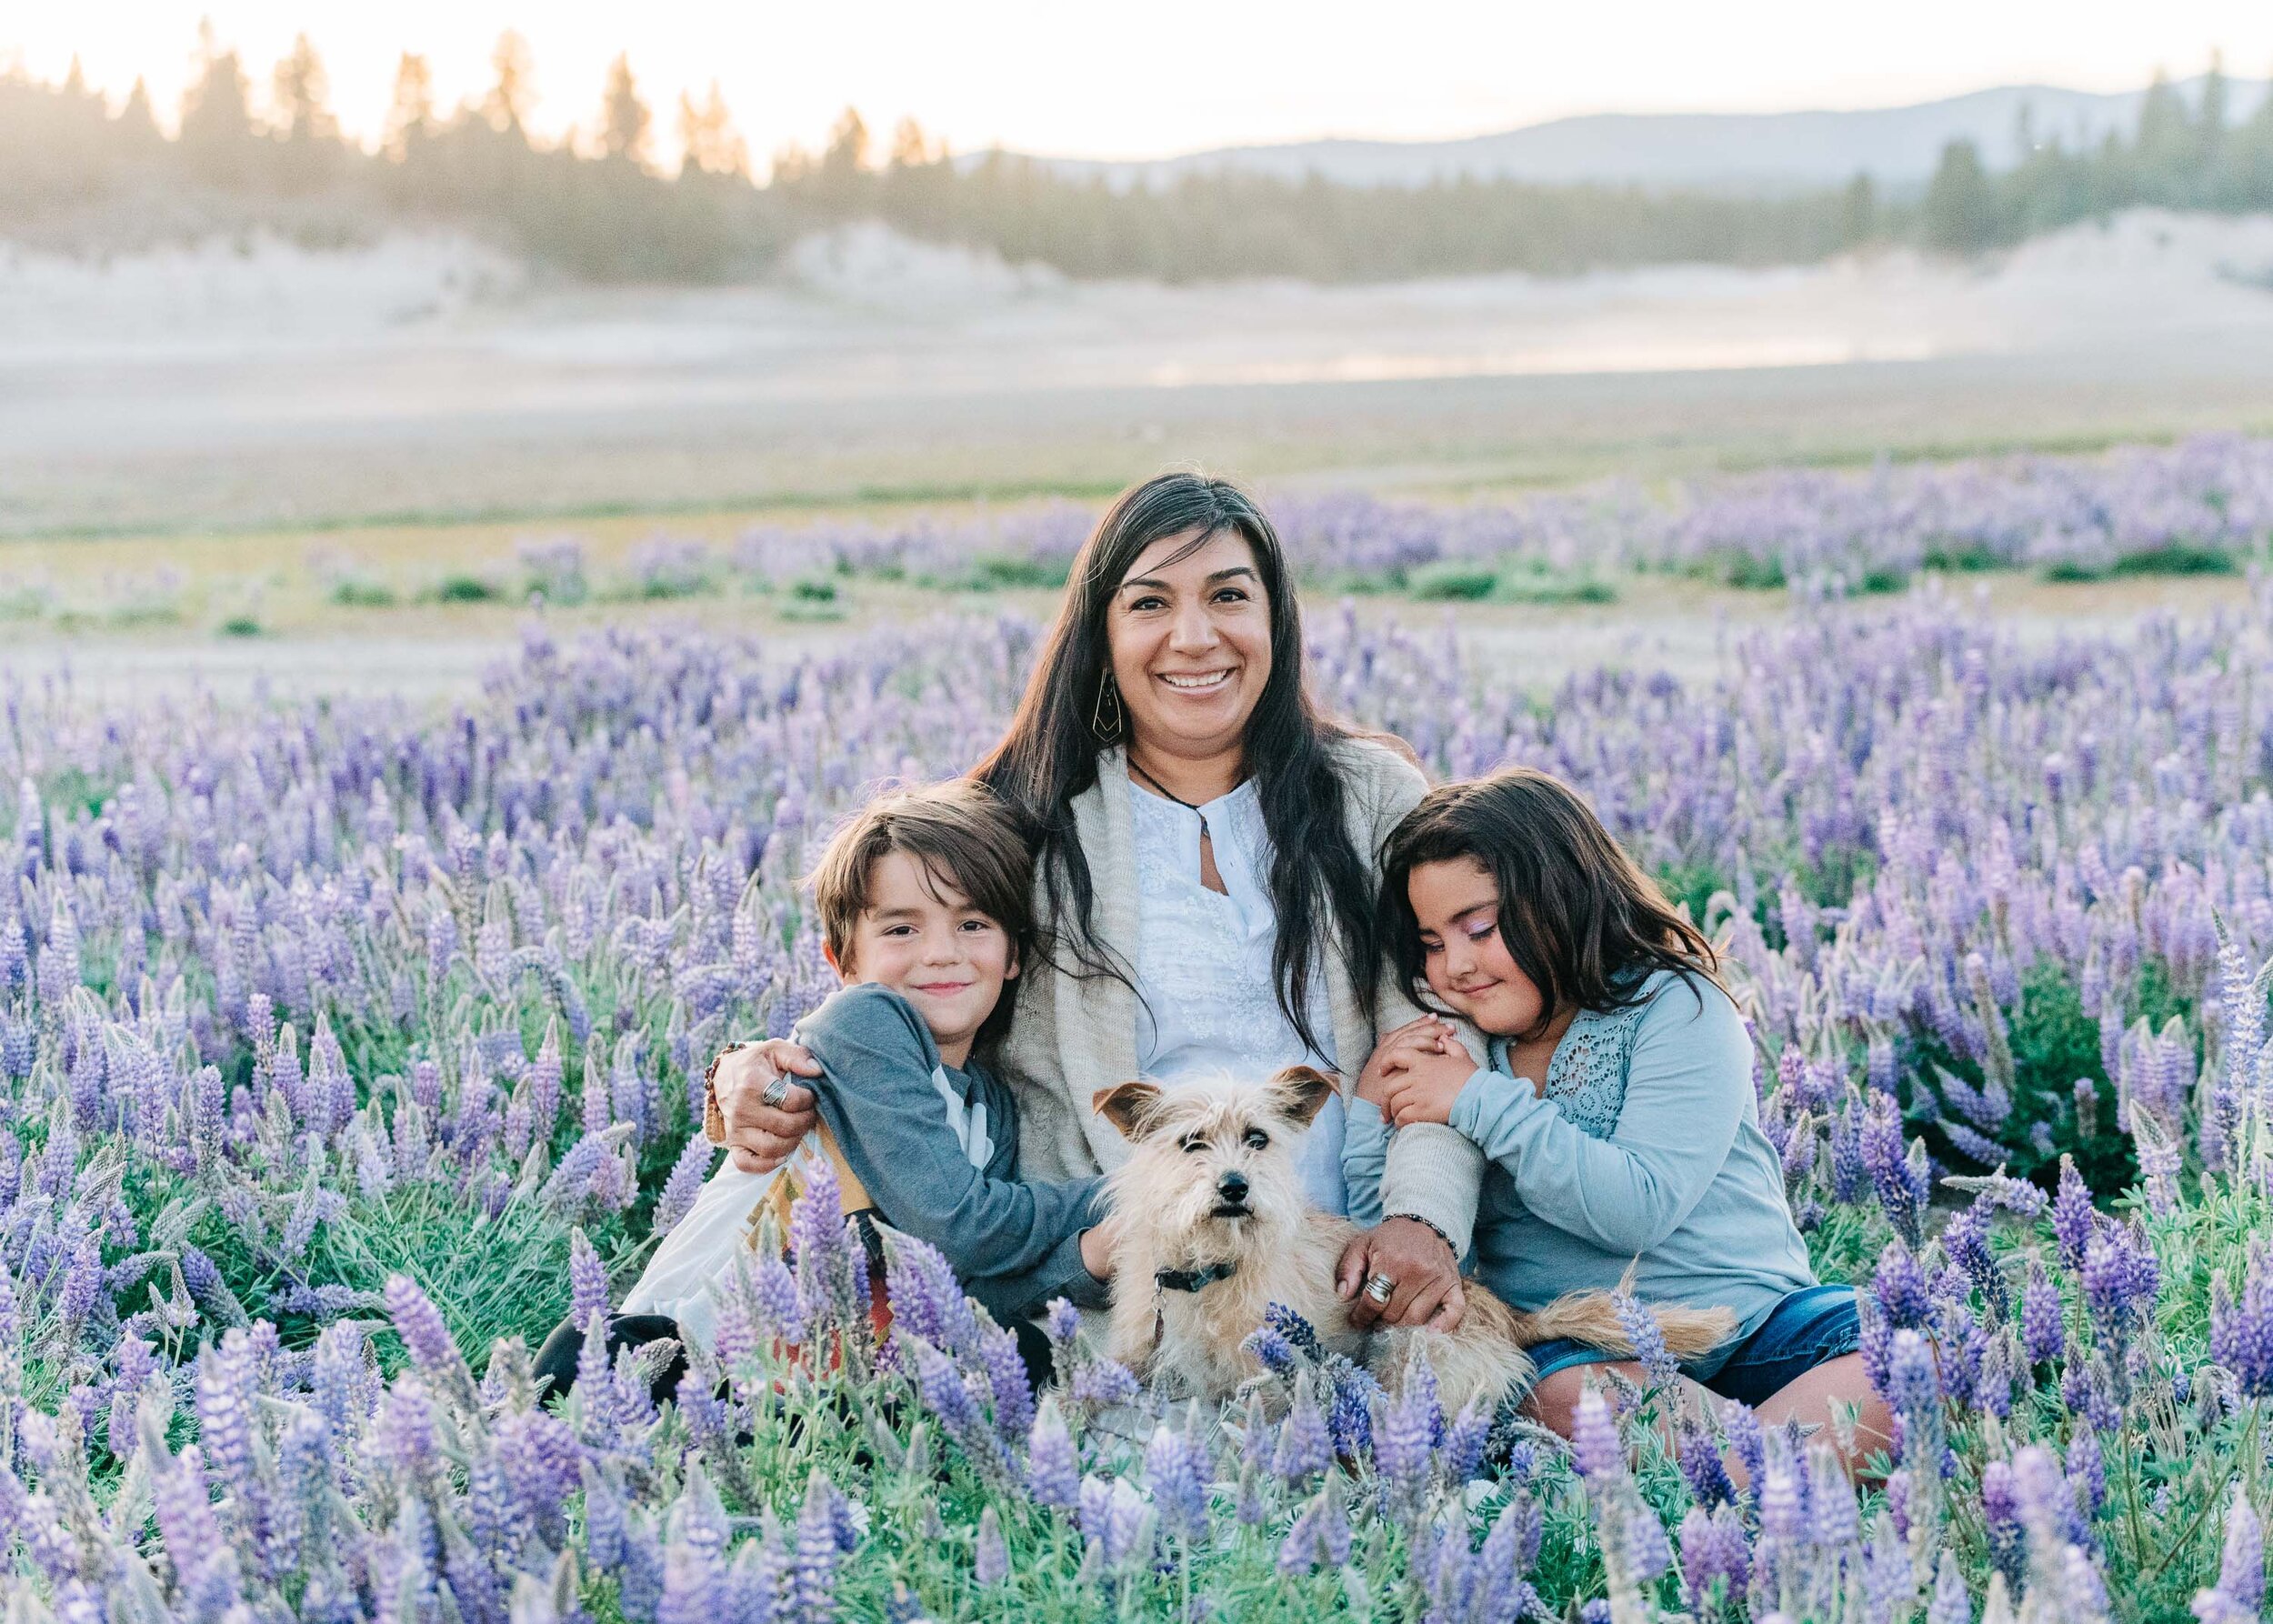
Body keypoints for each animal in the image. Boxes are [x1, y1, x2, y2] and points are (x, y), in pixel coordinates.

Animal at [1091, 1064, 1727, 1400]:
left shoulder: (1265, 1378)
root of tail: (1505, 1312)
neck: (1207, 1272)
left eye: (1257, 1139)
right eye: (1192, 1142)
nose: (1235, 1186)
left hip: (1411, 1367)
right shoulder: (1142, 1358)